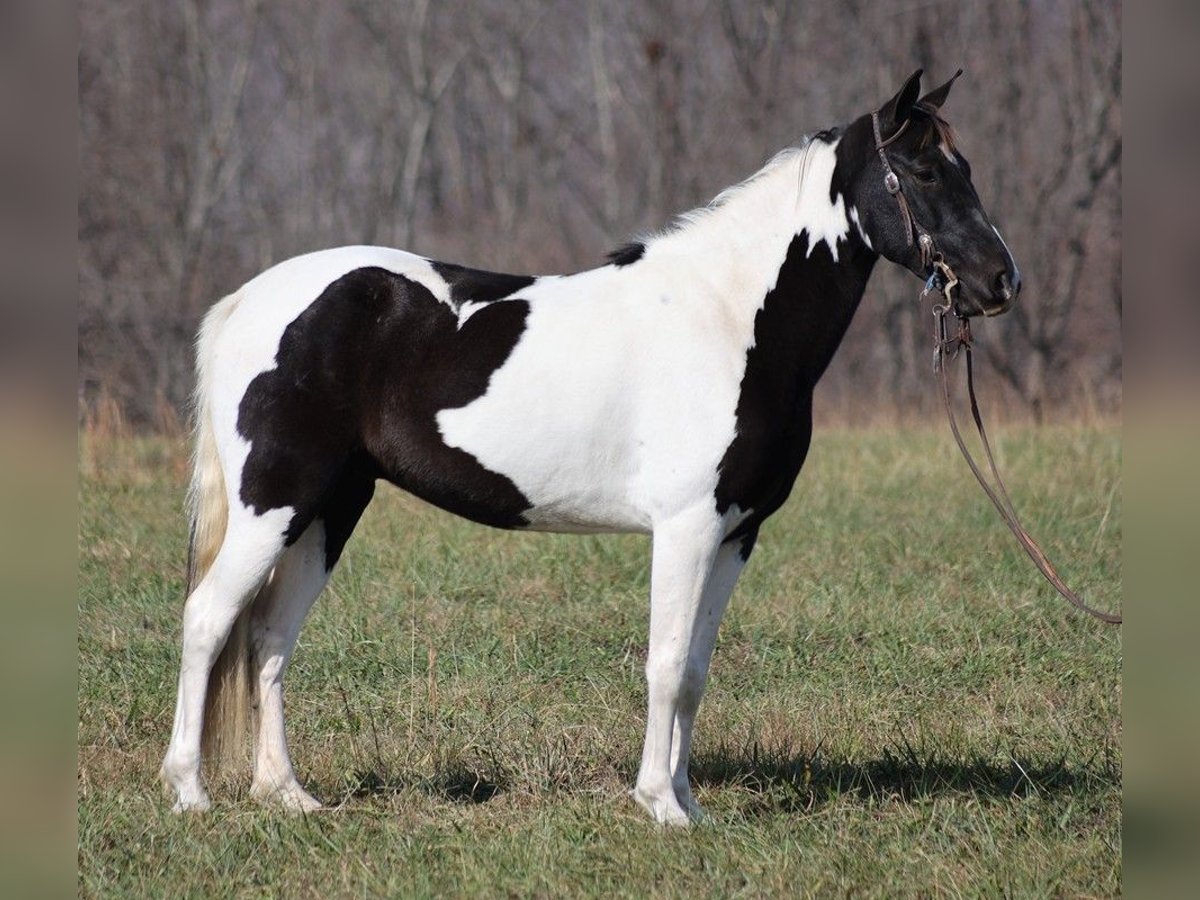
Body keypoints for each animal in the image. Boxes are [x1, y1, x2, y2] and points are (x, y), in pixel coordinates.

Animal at [159, 74, 1022, 830]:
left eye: (968, 168)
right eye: (921, 170)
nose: (999, 282)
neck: (729, 318)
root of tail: (247, 300)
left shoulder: (736, 533)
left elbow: (696, 671)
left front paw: (691, 804)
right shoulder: (686, 527)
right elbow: (665, 664)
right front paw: (660, 807)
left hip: (329, 510)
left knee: (269, 638)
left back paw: (287, 796)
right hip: (274, 505)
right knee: (208, 620)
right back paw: (190, 793)